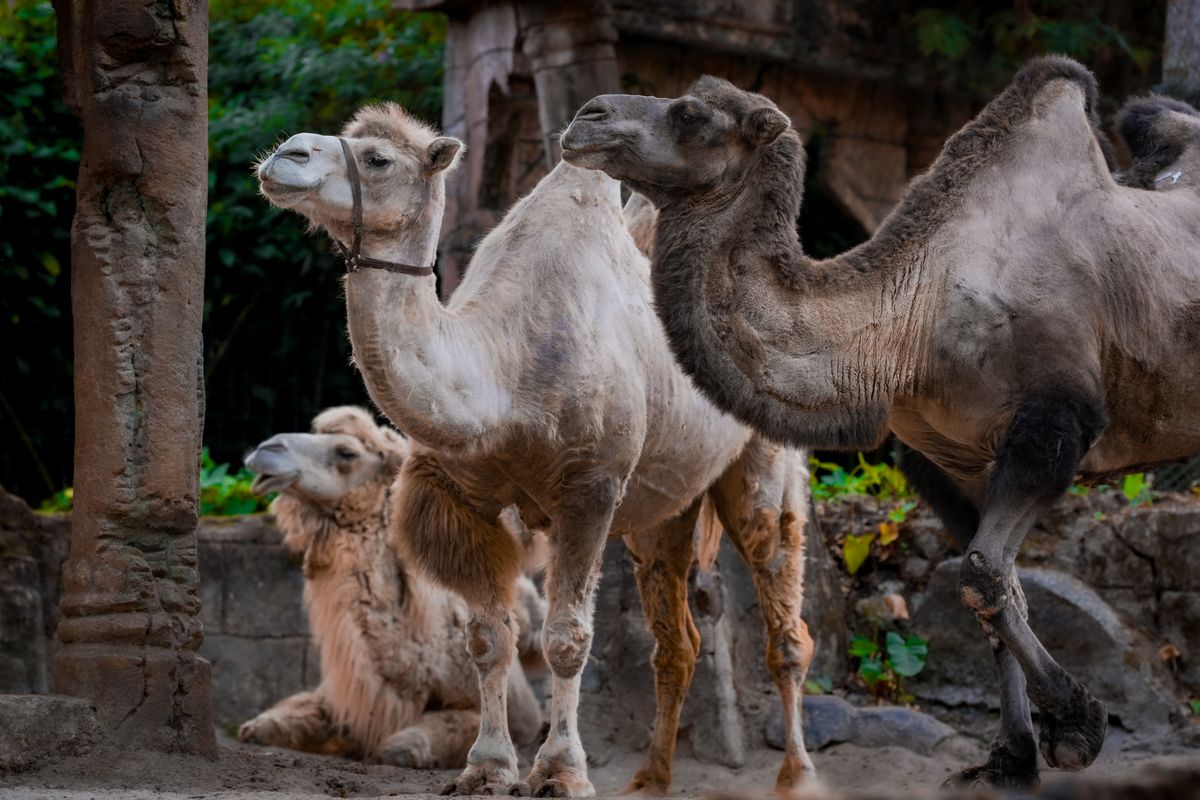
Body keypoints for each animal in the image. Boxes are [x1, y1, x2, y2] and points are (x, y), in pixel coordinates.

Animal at [560, 57, 1200, 790]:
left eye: (691, 115)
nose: (586, 117)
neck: (910, 322)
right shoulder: (946, 458)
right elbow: (996, 584)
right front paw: (1009, 758)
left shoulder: (1054, 423)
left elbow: (982, 574)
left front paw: (1076, 727)